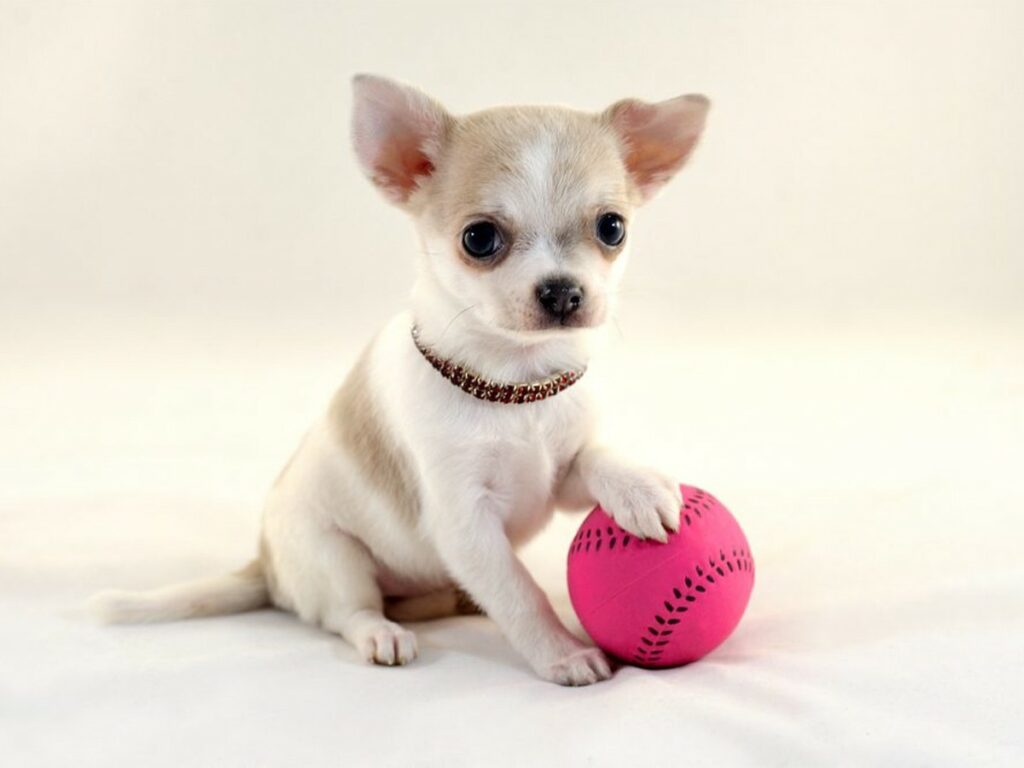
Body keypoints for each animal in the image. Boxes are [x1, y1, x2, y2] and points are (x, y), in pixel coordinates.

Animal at [92, 75, 708, 688]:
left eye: (612, 228)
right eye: (479, 239)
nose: (562, 291)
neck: (515, 388)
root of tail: (266, 567)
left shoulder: (557, 479)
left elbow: (598, 457)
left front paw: (639, 488)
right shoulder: (465, 524)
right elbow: (520, 593)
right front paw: (562, 653)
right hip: (334, 558)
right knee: (350, 612)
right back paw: (382, 633)